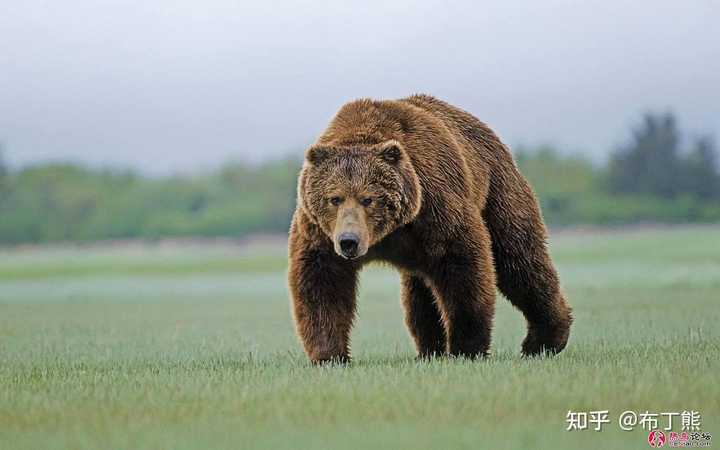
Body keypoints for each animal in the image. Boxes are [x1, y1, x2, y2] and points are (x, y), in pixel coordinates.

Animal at [288, 94, 572, 363]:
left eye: (368, 198)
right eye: (334, 198)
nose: (349, 241)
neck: (388, 234)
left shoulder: (435, 207)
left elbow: (464, 268)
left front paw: (466, 348)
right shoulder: (320, 232)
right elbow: (322, 282)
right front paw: (329, 355)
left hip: (498, 191)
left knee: (519, 260)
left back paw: (544, 340)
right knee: (420, 293)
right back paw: (429, 349)